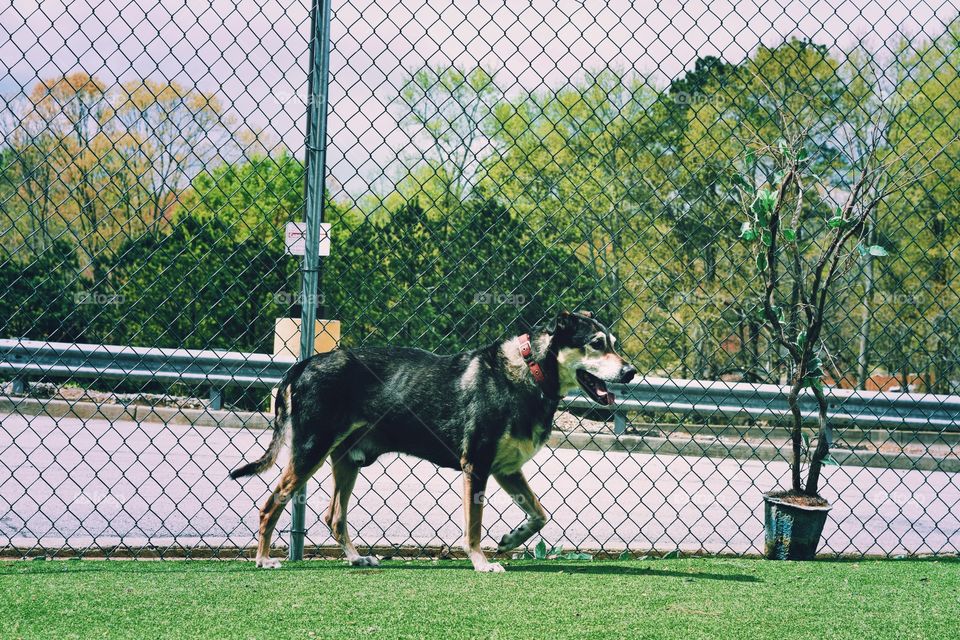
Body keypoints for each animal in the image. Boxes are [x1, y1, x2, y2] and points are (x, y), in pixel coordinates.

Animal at [231, 308, 636, 568]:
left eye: (613, 343)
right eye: (597, 343)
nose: (631, 372)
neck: (529, 372)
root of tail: (304, 364)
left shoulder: (506, 469)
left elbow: (539, 513)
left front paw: (511, 538)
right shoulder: (477, 466)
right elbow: (473, 525)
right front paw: (480, 561)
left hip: (346, 460)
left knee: (335, 517)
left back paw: (356, 558)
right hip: (309, 451)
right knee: (271, 505)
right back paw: (263, 559)